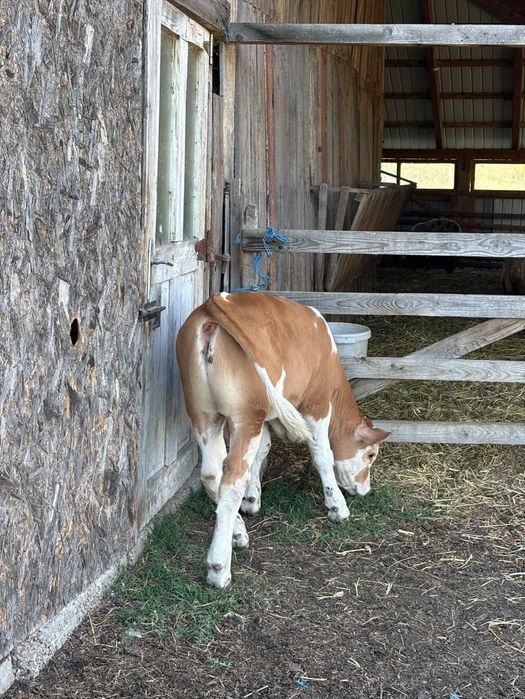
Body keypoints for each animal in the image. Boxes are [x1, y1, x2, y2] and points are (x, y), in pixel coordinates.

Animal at [176, 292, 389, 588]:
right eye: (370, 454)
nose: (366, 490)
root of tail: (216, 302)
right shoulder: (317, 404)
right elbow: (323, 455)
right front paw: (338, 507)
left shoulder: (266, 418)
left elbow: (263, 449)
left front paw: (253, 499)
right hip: (246, 415)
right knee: (231, 478)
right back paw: (219, 567)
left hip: (203, 412)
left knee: (212, 473)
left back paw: (237, 531)